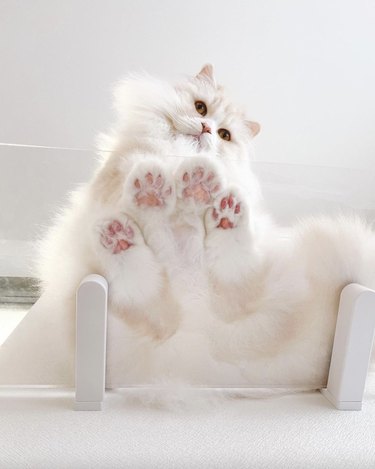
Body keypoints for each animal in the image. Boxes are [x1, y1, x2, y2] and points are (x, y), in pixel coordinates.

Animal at [33, 64, 374, 390]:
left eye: (224, 135)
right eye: (200, 108)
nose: (207, 128)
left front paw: (195, 184)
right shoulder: (116, 174)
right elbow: (133, 171)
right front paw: (160, 185)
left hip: (250, 286)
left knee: (233, 284)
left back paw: (215, 205)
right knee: (150, 300)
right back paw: (134, 222)